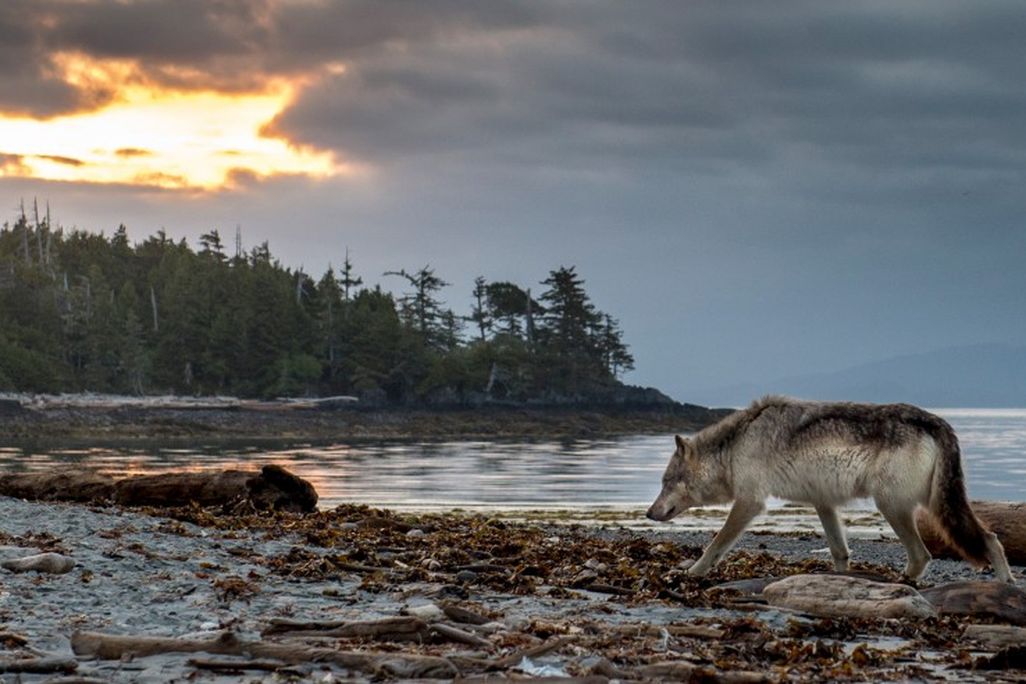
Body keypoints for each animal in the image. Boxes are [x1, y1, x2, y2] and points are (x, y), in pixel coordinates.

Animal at [646, 396, 1012, 582]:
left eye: (666, 482)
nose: (649, 513)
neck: (736, 443)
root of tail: (939, 422)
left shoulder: (750, 503)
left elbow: (715, 545)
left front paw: (692, 572)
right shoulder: (823, 503)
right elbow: (840, 552)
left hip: (894, 506)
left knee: (923, 555)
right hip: (935, 505)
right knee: (990, 538)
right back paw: (1006, 586)